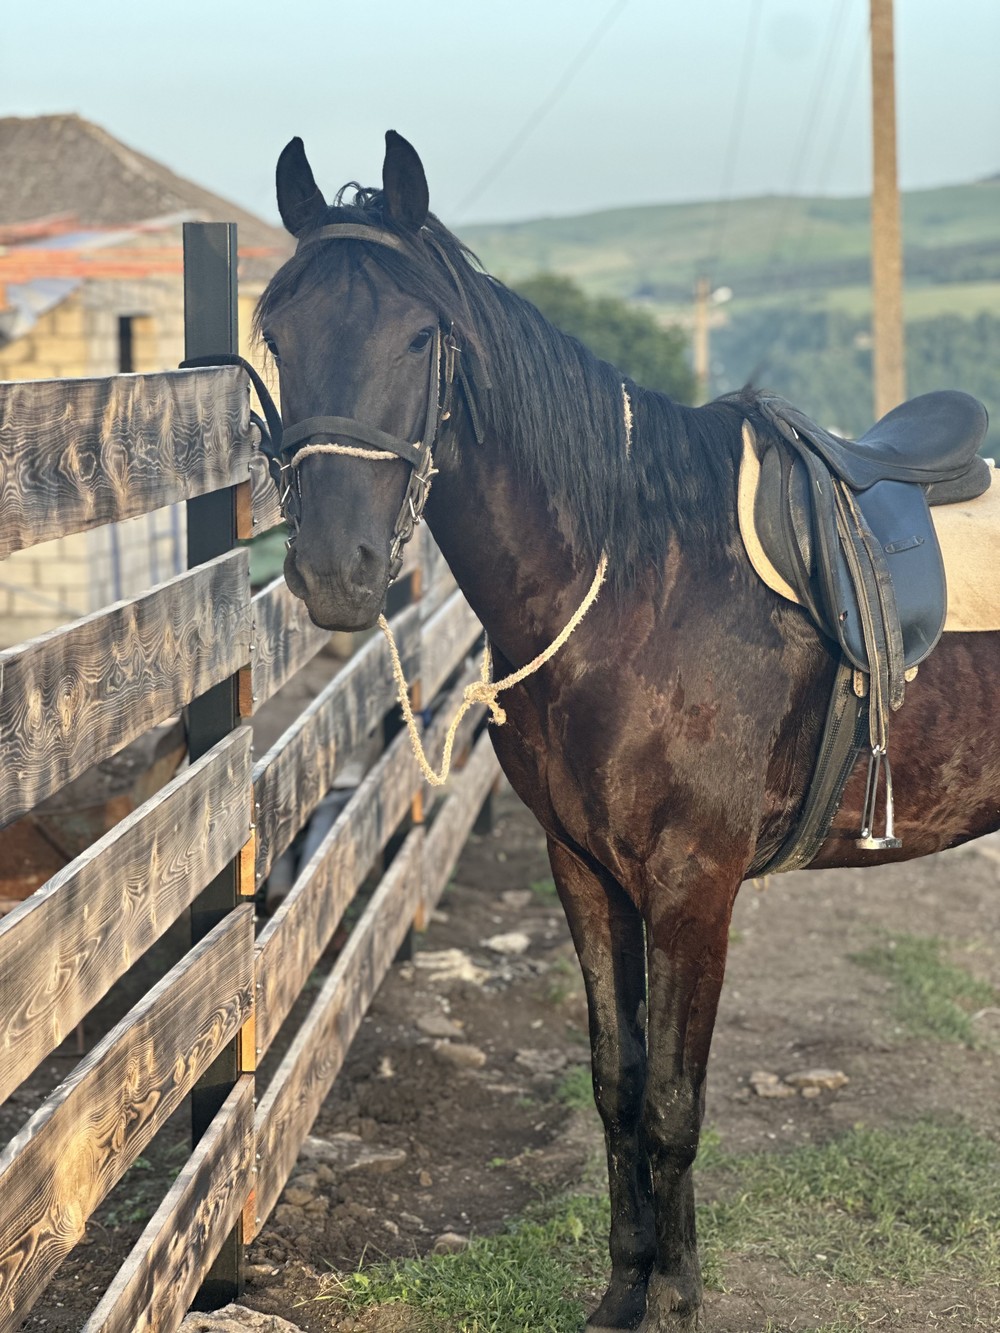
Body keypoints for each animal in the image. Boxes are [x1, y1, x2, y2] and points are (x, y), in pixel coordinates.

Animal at [252, 129, 1000, 1331]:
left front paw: (675, 1300)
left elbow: (675, 1104)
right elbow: (618, 1084)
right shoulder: (586, 869)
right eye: (276, 334)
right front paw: (625, 1290)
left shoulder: (693, 882)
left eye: (420, 335)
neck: (638, 579)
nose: (334, 571)